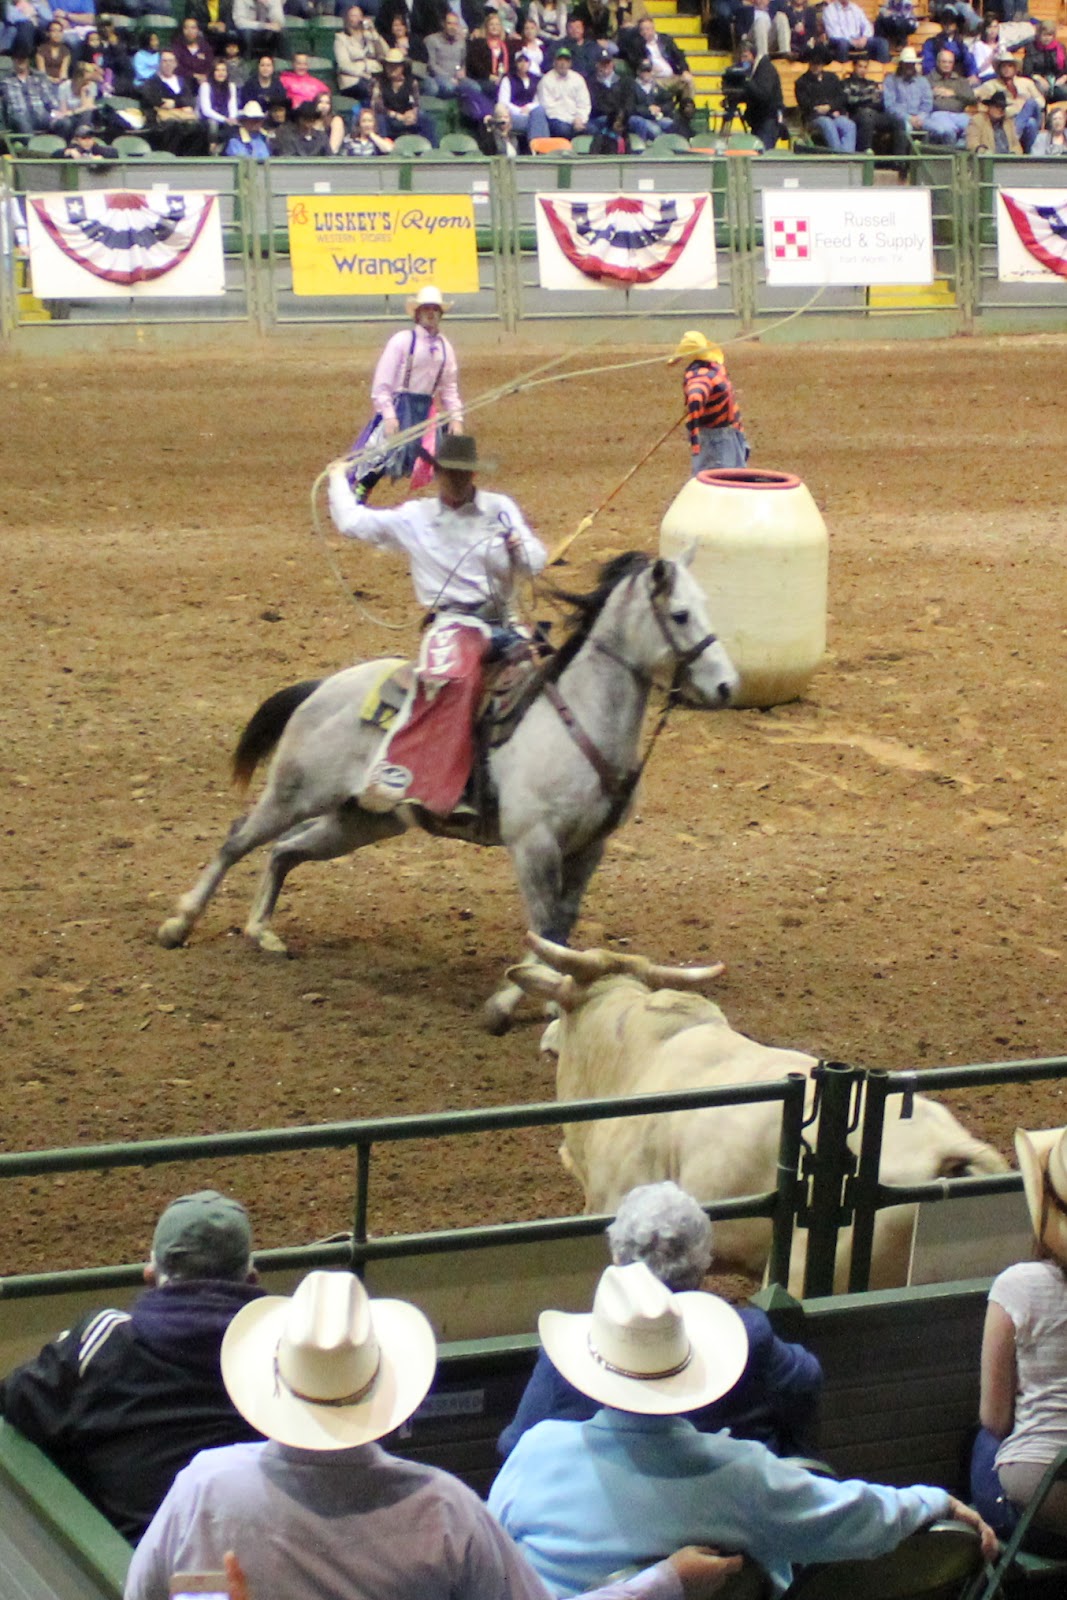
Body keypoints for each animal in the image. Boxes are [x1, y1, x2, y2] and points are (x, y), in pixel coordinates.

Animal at [156, 551, 739, 1031]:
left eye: (707, 606)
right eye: (680, 614)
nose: (726, 686)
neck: (579, 719)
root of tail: (321, 687)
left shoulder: (589, 847)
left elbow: (562, 928)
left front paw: (557, 1002)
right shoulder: (533, 843)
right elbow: (543, 924)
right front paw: (504, 1006)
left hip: (359, 820)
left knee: (284, 851)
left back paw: (261, 931)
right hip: (294, 792)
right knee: (238, 839)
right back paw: (178, 923)